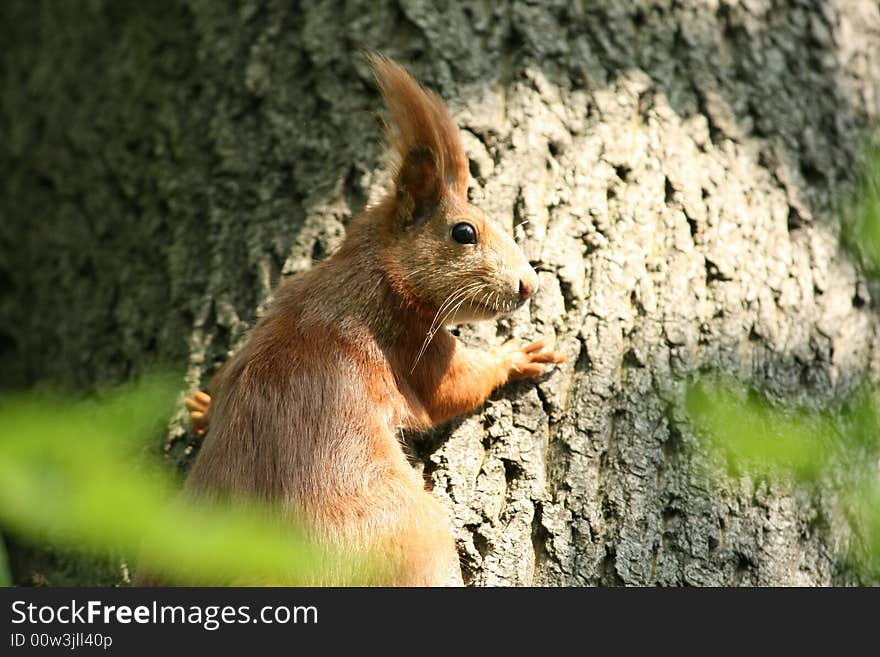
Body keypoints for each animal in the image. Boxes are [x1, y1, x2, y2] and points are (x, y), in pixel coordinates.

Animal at [168, 52, 564, 584]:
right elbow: (454, 389)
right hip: (410, 531)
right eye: (464, 232)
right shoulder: (414, 345)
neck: (370, 270)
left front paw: (202, 406)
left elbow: (222, 374)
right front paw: (516, 354)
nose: (529, 285)